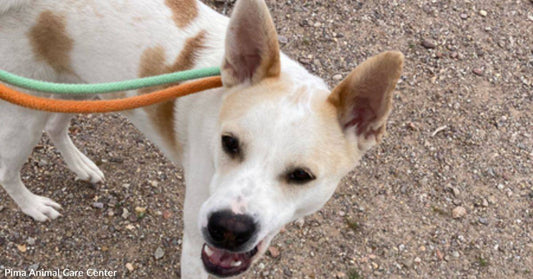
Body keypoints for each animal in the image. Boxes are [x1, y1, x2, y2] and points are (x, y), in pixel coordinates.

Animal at [0, 0, 400, 278]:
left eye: (301, 175)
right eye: (229, 143)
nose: (228, 229)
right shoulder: (196, 244)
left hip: (73, 88)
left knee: (56, 127)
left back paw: (81, 167)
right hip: (24, 113)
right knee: (8, 171)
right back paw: (33, 205)